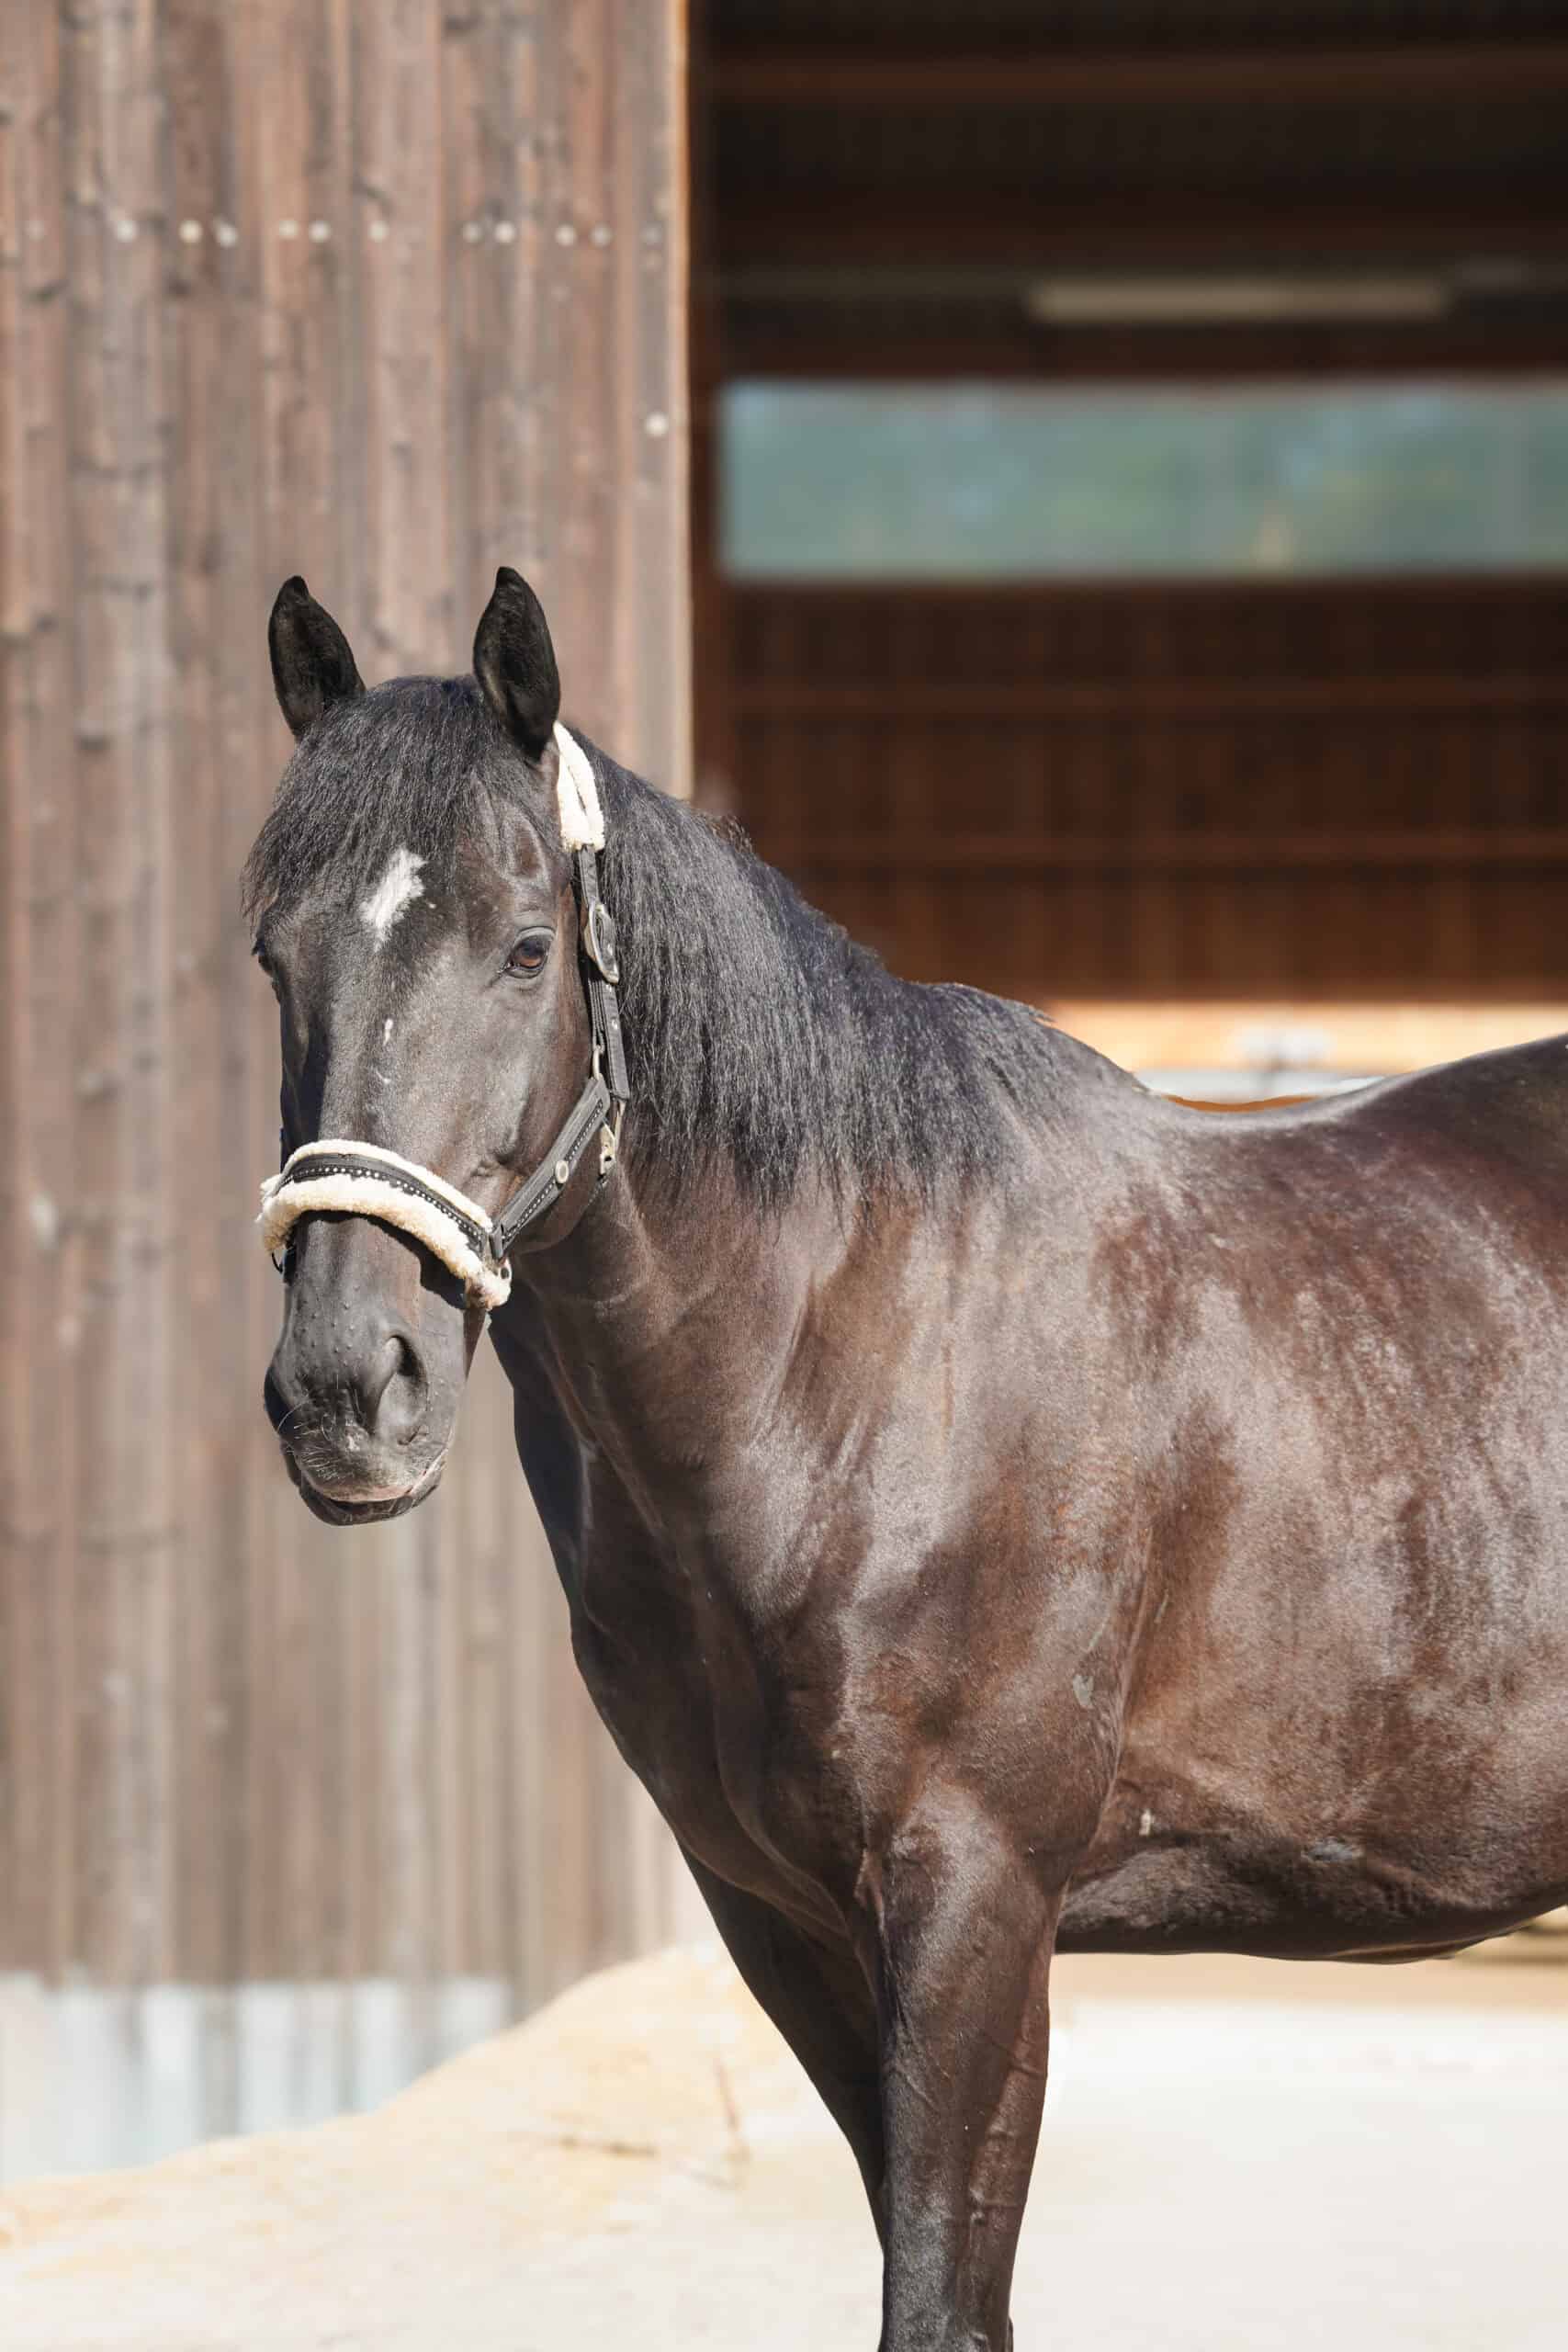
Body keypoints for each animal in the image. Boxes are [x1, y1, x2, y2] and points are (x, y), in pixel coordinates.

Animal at [248, 568, 1568, 2350]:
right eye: (274, 954)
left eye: (524, 949)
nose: (344, 1385)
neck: (856, 1364)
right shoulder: (783, 1921)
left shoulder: (975, 1902)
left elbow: (937, 2296)